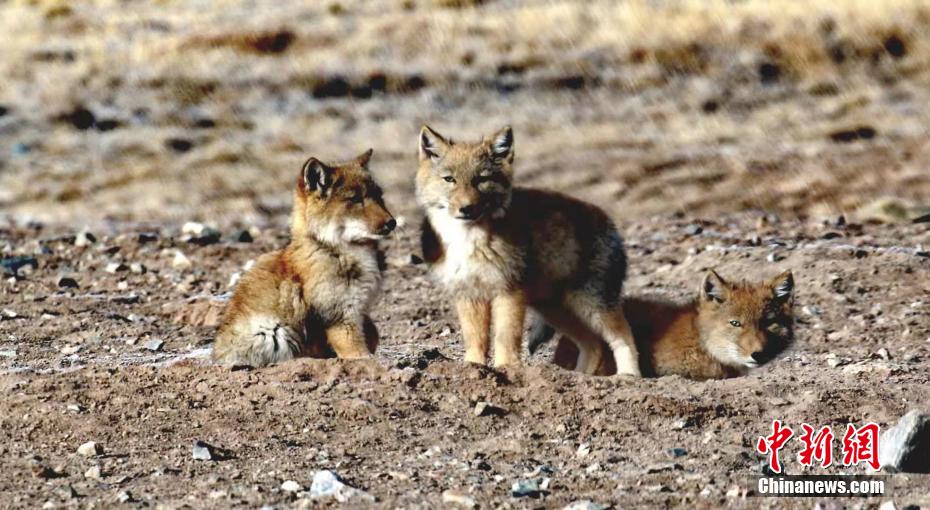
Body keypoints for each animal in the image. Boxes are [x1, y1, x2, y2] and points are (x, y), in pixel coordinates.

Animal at [212, 149, 396, 367]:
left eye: (379, 196)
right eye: (355, 199)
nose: (392, 223)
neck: (332, 249)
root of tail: (216, 355)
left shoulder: (359, 311)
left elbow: (373, 333)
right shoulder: (340, 318)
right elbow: (359, 353)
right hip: (274, 333)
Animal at [416, 125, 640, 375]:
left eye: (481, 180)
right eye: (449, 179)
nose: (466, 208)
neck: (468, 241)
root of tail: (609, 220)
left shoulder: (509, 291)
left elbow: (505, 336)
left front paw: (506, 368)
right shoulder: (470, 294)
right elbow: (476, 339)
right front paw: (474, 368)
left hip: (591, 305)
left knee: (624, 335)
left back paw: (629, 376)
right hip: (556, 310)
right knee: (593, 344)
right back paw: (578, 377)